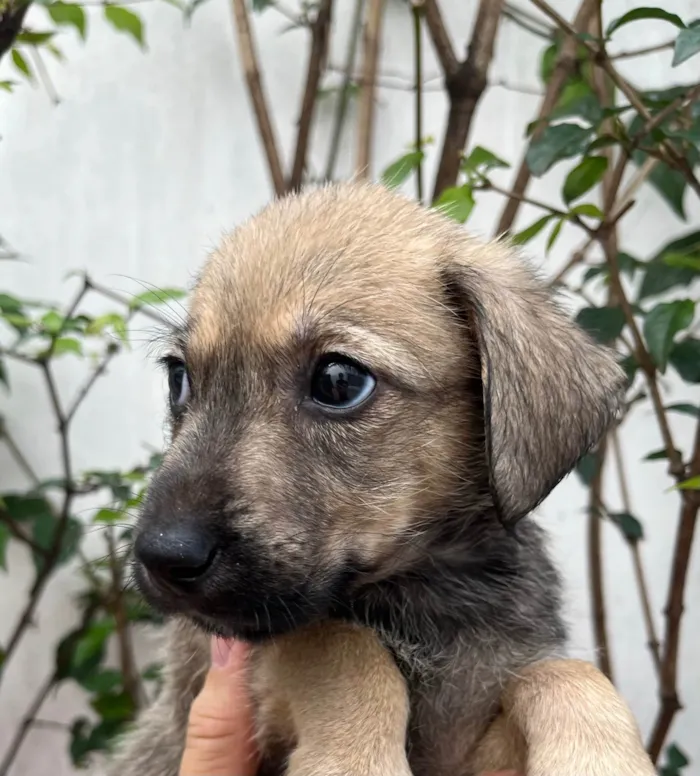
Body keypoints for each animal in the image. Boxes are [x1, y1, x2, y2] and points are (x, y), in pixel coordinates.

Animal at [104, 183, 656, 776]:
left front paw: (603, 758)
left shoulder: (477, 736)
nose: (164, 556)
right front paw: (351, 759)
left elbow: (567, 673)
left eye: (339, 380)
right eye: (178, 377)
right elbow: (339, 642)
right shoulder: (250, 665)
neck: (422, 590)